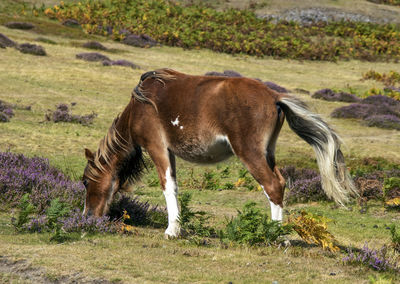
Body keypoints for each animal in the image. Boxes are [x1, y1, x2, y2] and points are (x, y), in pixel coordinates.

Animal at [82, 68, 356, 237]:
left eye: (85, 181)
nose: (87, 217)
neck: (140, 105)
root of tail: (275, 97)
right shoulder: (169, 152)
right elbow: (175, 186)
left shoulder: (157, 147)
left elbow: (167, 186)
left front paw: (172, 231)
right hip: (267, 153)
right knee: (279, 182)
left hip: (250, 153)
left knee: (273, 186)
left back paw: (277, 235)